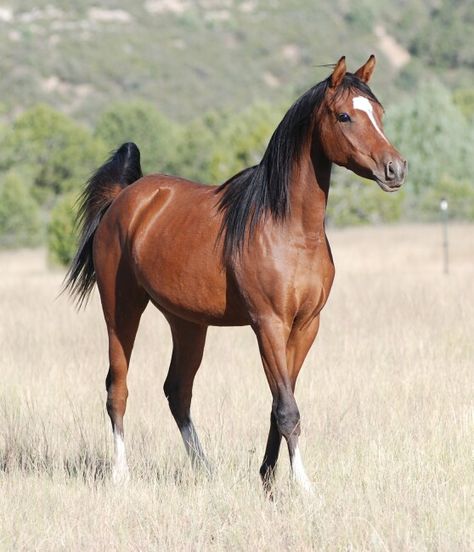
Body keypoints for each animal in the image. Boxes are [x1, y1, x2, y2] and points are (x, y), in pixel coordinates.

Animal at [65, 58, 408, 494]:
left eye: (379, 112)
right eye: (344, 115)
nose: (395, 168)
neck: (288, 229)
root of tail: (125, 198)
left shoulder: (305, 327)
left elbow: (280, 403)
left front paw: (267, 478)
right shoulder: (268, 325)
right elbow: (288, 409)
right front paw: (304, 487)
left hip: (187, 323)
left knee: (177, 391)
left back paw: (204, 470)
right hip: (121, 310)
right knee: (118, 388)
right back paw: (120, 474)